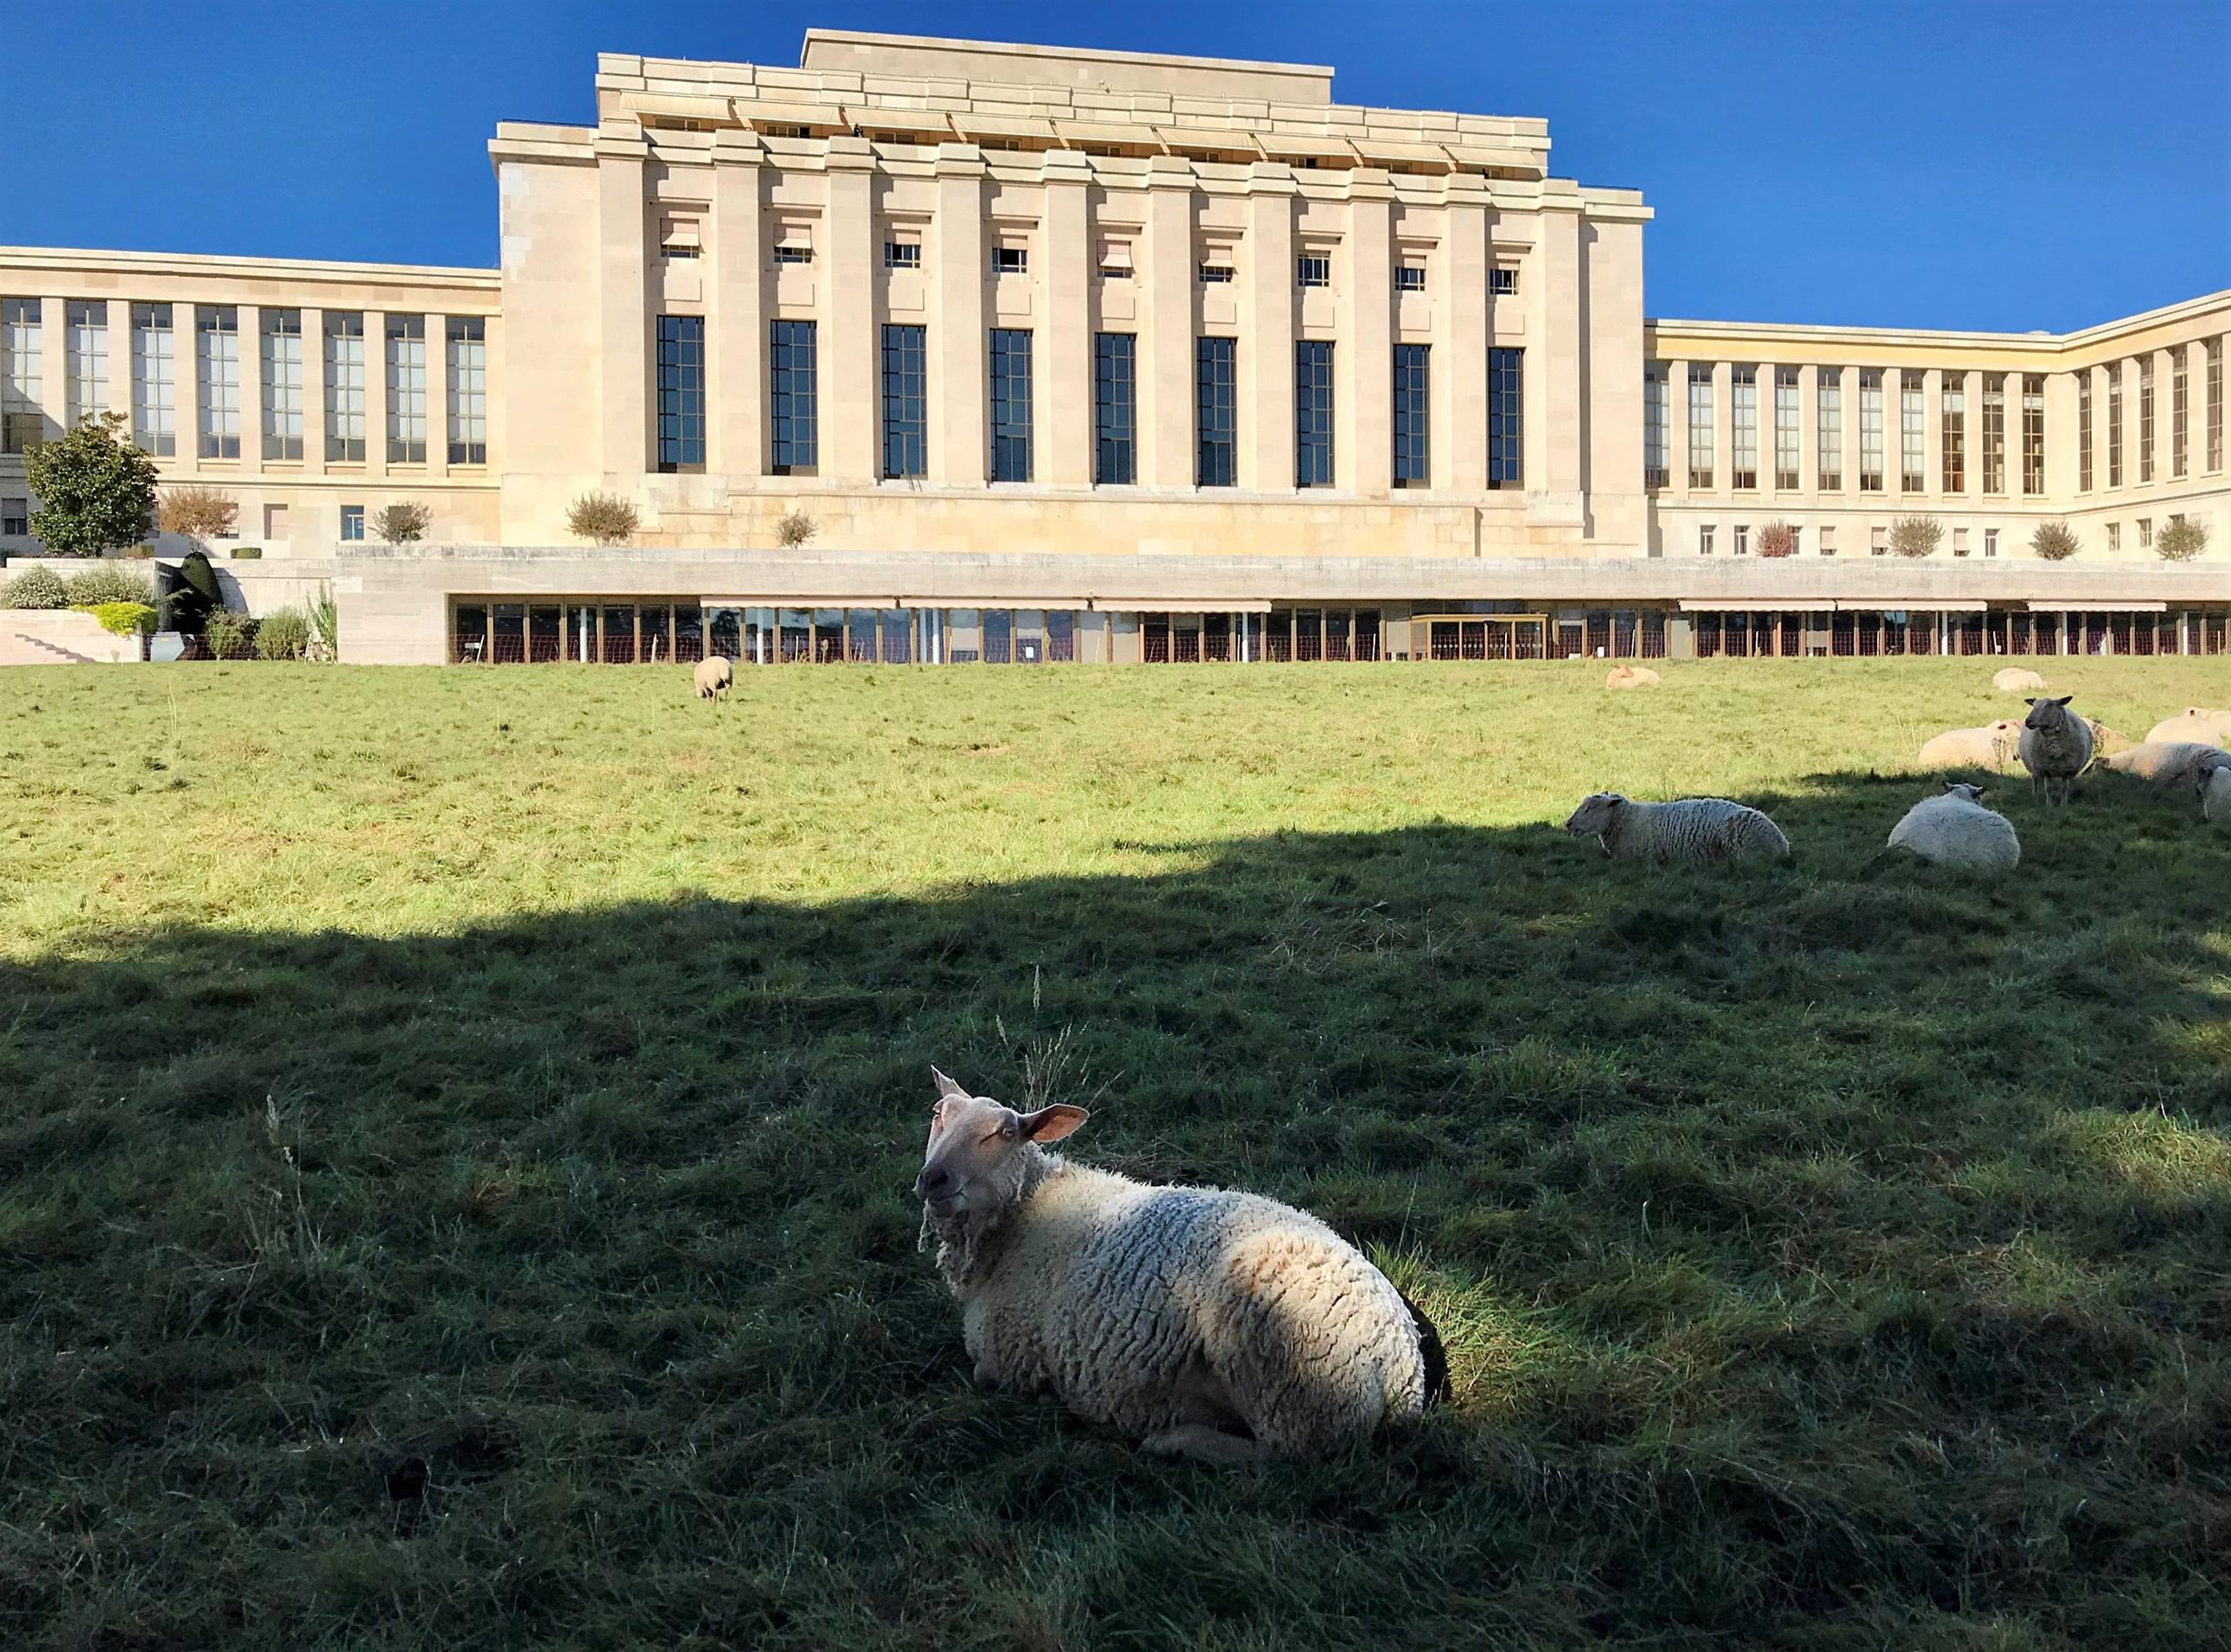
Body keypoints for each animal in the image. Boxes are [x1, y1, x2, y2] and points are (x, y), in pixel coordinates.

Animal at [910, 1060, 1445, 1462]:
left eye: (1004, 1133)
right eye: (937, 1113)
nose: (933, 1179)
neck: (1022, 1217)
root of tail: (1405, 1369)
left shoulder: (1005, 1357)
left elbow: (987, 1377)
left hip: (1285, 1380)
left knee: (1289, 1457)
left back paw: (1170, 1440)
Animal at [2025, 691, 2088, 807]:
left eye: (2048, 705)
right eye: (2033, 705)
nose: (2028, 721)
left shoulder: (2067, 770)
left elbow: (2064, 789)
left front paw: (2063, 805)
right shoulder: (2045, 769)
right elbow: (2049, 789)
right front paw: (2049, 805)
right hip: (2034, 766)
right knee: (2035, 780)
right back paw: (2035, 798)